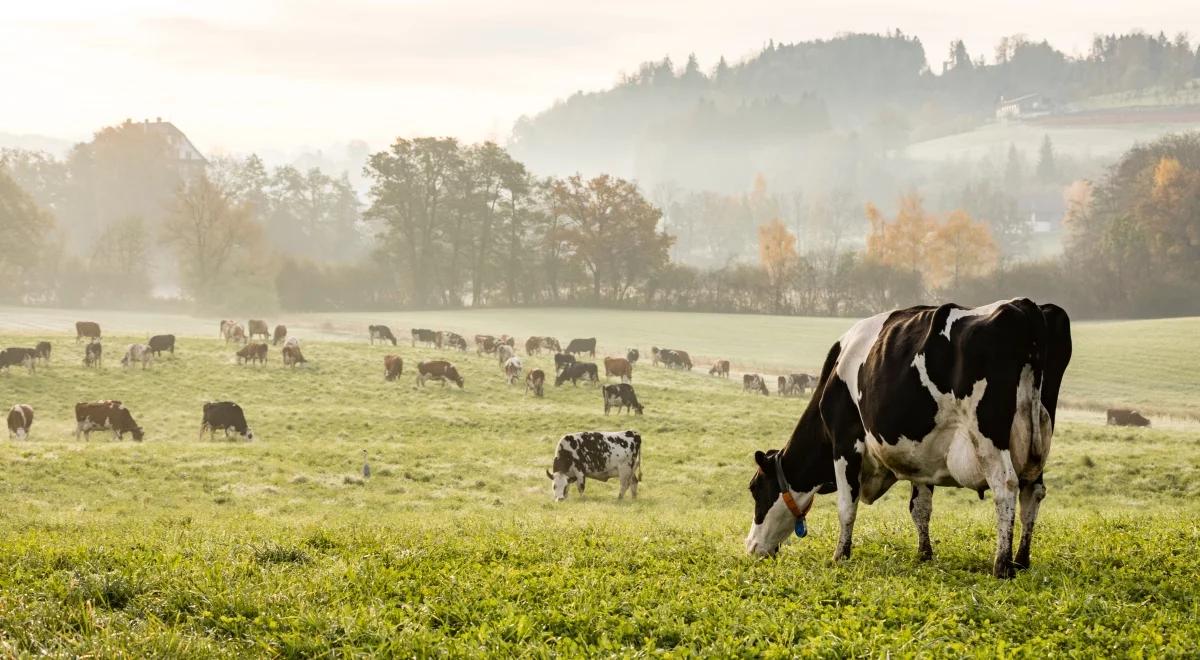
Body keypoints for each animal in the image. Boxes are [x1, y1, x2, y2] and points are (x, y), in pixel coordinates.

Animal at [744, 302, 1075, 583]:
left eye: (755, 488)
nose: (751, 547)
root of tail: (1025, 306)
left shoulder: (845, 442)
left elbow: (846, 506)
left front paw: (840, 555)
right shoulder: (921, 456)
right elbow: (920, 508)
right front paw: (924, 554)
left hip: (989, 436)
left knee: (1006, 486)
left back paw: (1002, 565)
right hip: (1038, 439)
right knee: (1032, 492)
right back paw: (1022, 560)